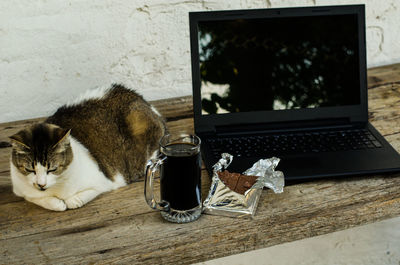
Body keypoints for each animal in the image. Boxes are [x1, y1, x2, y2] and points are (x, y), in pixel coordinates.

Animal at [9, 83, 166, 211]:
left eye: (52, 169)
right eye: (29, 169)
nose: (41, 184)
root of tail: (146, 103)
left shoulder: (103, 182)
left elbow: (75, 200)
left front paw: (68, 201)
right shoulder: (21, 190)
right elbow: (39, 199)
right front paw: (56, 203)